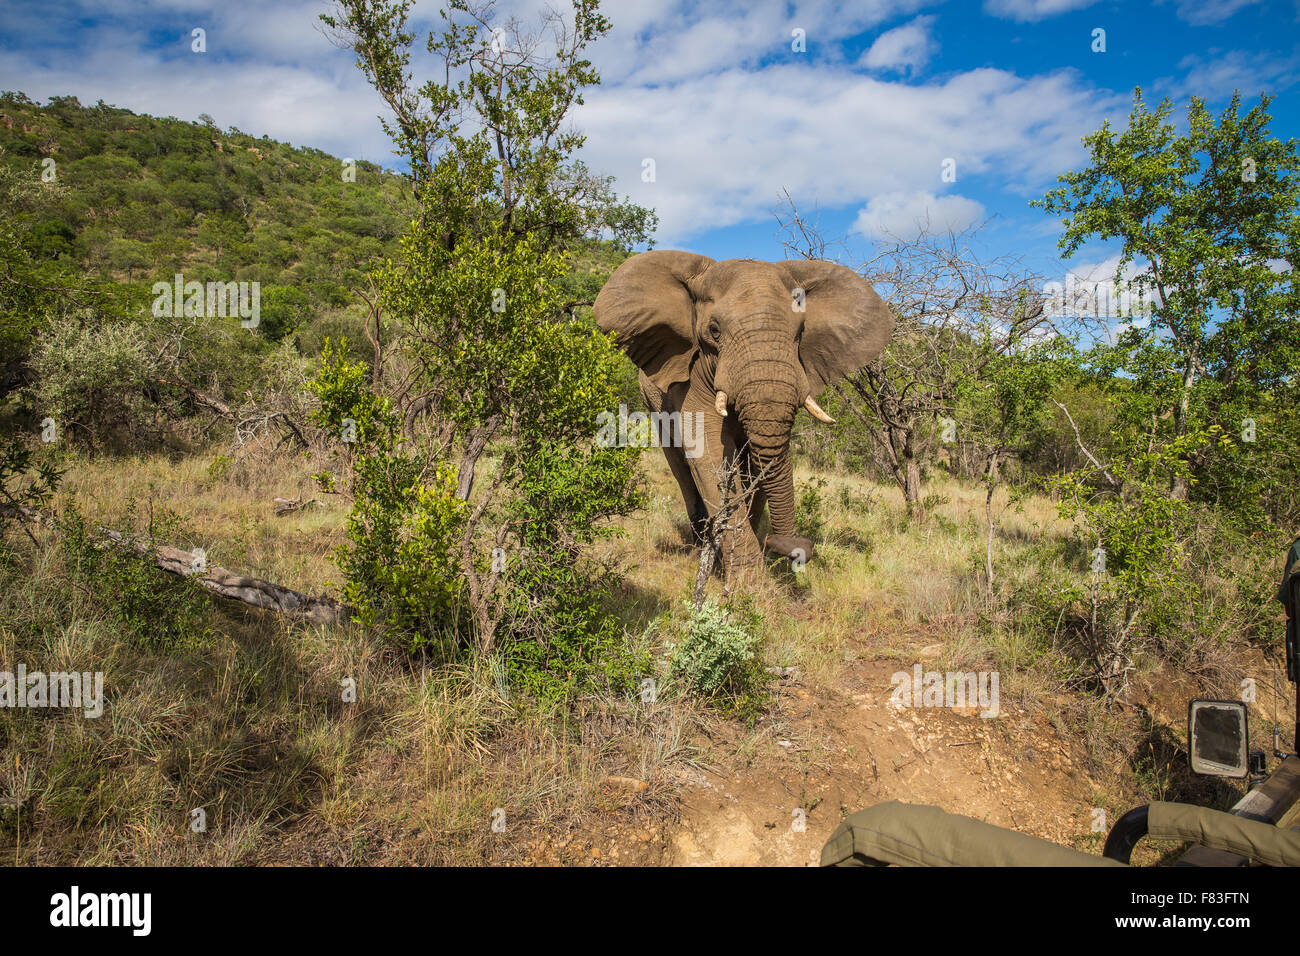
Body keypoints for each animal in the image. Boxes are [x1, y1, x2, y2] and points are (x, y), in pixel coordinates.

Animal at [595, 251, 894, 574]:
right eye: (714, 331)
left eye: (800, 332)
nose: (793, 547)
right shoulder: (688, 379)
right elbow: (709, 451)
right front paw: (749, 582)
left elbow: (762, 459)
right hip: (652, 402)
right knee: (682, 468)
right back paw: (699, 544)